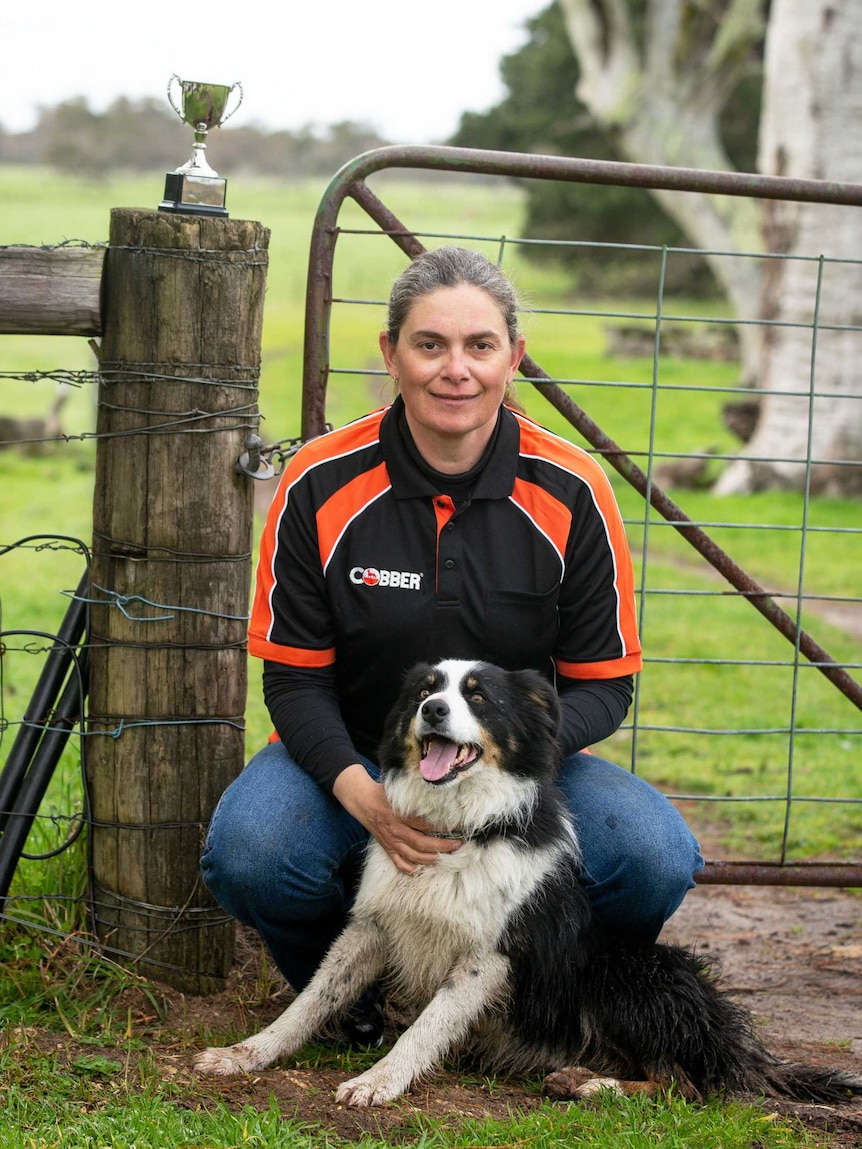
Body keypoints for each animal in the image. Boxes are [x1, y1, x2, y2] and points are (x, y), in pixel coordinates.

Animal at [195, 661, 862, 1107]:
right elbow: (308, 1001)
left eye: (479, 697)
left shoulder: (487, 957)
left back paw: (596, 1085)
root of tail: (732, 1041)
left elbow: (426, 1028)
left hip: (625, 970)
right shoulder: (371, 928)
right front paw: (244, 1055)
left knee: (689, 1086)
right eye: (424, 691)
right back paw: (578, 1076)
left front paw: (377, 1081)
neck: (460, 829)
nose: (433, 711)